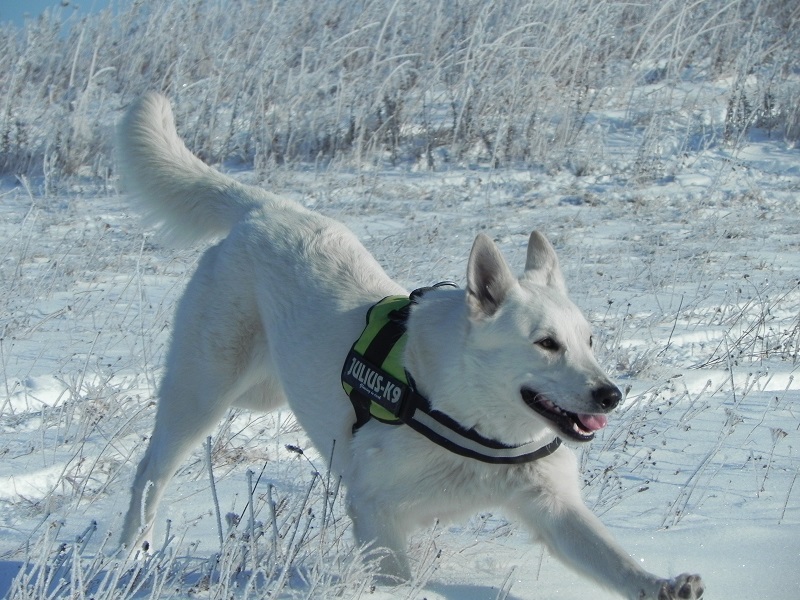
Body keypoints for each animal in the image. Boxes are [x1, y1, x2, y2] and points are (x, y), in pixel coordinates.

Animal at [117, 93, 704, 600]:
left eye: (589, 340)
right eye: (546, 343)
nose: (611, 395)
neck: (469, 415)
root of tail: (262, 211)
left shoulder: (552, 507)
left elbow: (617, 561)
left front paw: (666, 586)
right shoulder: (375, 509)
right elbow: (397, 581)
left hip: (258, 392)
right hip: (203, 394)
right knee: (149, 472)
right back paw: (127, 557)